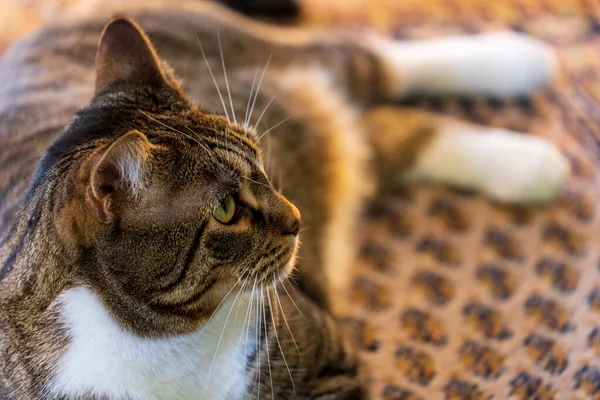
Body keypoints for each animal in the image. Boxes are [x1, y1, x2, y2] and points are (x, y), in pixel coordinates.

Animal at [0, 1, 568, 398]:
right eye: (226, 210)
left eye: (259, 159)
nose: (296, 218)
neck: (157, 341)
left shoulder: (329, 354)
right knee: (384, 136)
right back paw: (530, 167)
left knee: (374, 60)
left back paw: (524, 65)